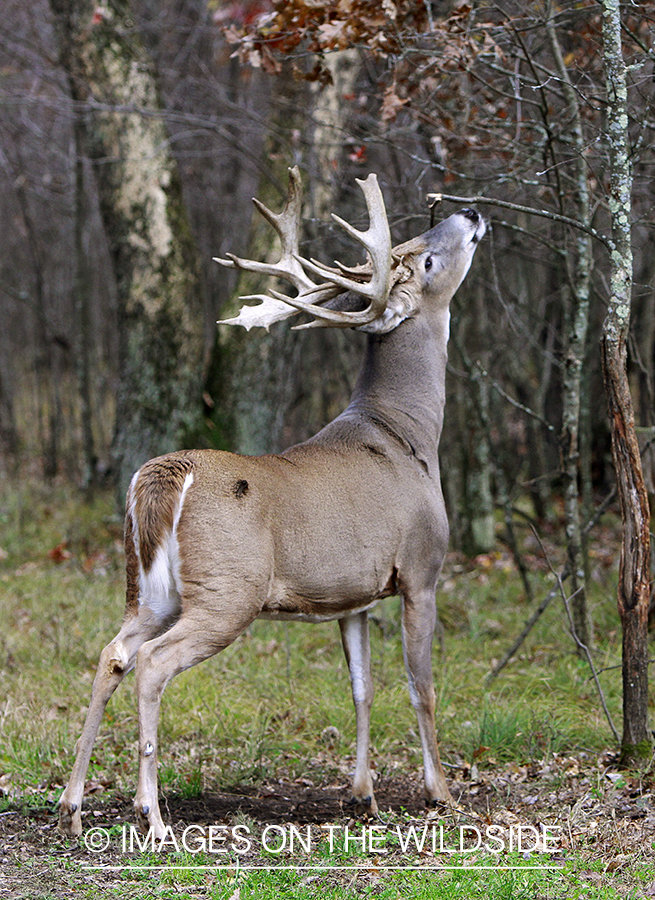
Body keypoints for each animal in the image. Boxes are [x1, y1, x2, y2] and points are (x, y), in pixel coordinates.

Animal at [59, 167, 484, 836]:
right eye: (428, 259)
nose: (469, 212)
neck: (408, 435)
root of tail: (161, 477)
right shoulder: (422, 569)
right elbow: (423, 687)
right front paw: (440, 793)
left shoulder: (353, 595)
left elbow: (361, 687)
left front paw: (361, 794)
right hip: (229, 589)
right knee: (151, 663)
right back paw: (153, 816)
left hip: (149, 587)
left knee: (113, 655)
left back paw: (73, 804)